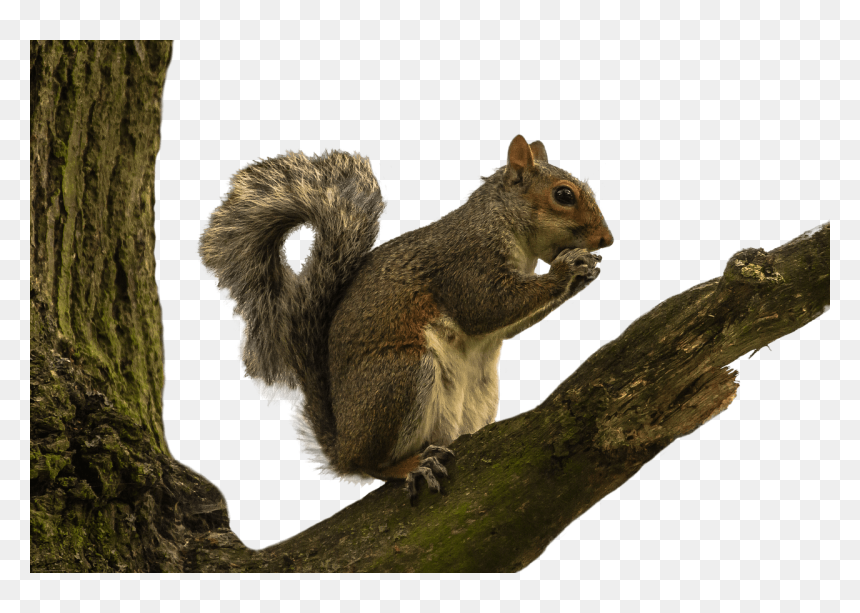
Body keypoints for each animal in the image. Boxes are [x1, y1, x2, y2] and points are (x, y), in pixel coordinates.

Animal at [199, 135, 614, 498]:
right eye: (564, 195)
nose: (606, 240)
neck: (504, 224)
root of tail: (343, 444)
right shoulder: (467, 262)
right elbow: (486, 308)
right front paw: (566, 270)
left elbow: (507, 325)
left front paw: (585, 272)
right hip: (401, 375)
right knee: (371, 464)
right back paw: (410, 465)